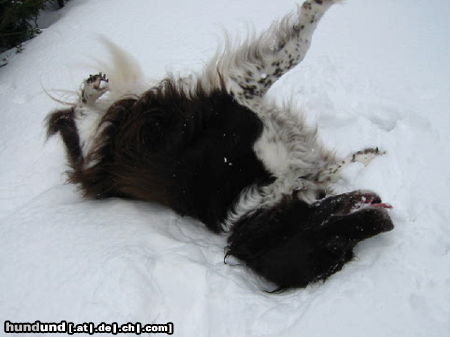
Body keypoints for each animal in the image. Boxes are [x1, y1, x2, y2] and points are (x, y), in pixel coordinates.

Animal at [45, 0, 394, 288]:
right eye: (334, 245)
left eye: (342, 252)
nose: (388, 223)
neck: (269, 192)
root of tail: (99, 180)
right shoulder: (240, 92)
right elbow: (297, 47)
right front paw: (319, 5)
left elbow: (332, 164)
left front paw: (368, 155)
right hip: (103, 150)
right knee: (75, 125)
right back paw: (90, 92)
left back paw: (94, 91)